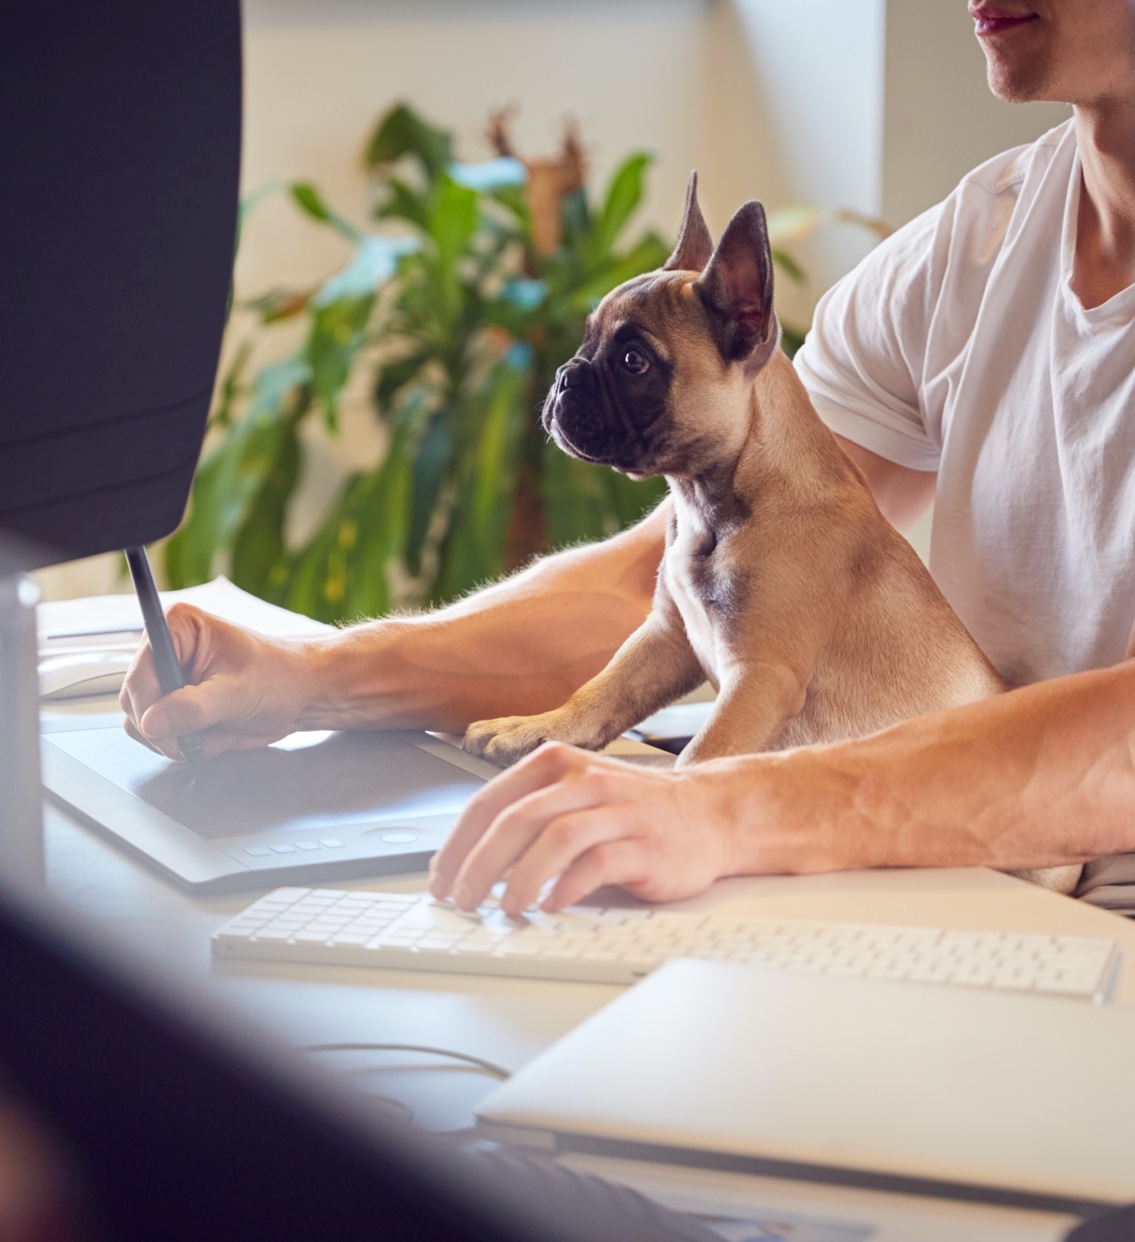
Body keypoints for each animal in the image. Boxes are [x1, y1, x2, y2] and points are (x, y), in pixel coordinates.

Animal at [461, 175, 1077, 894]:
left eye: (634, 361)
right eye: (584, 342)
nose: (563, 376)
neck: (717, 500)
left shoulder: (759, 679)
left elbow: (704, 753)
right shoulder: (665, 639)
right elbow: (602, 690)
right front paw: (537, 728)